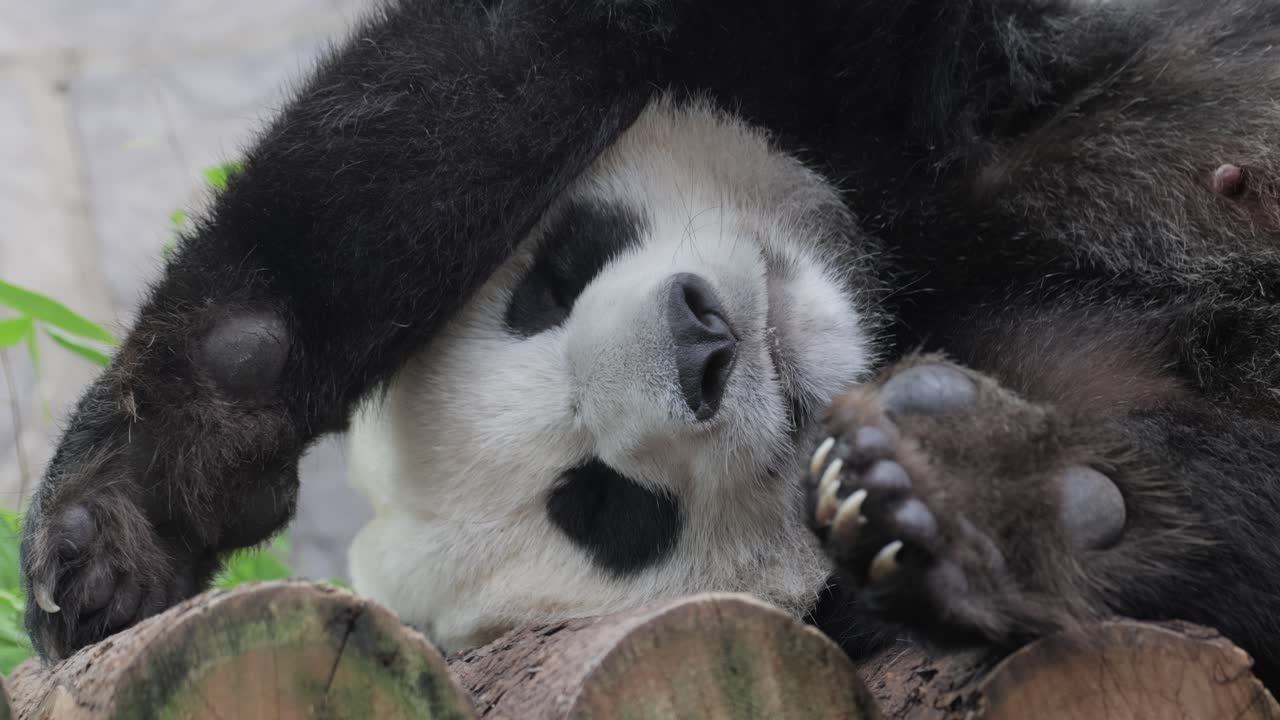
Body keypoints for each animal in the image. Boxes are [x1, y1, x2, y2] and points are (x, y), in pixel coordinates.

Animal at [17, 0, 1280, 694]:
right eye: (604, 504)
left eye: (550, 283)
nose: (705, 342)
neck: (898, 269)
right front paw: (977, 504)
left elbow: (481, 71)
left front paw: (120, 512)